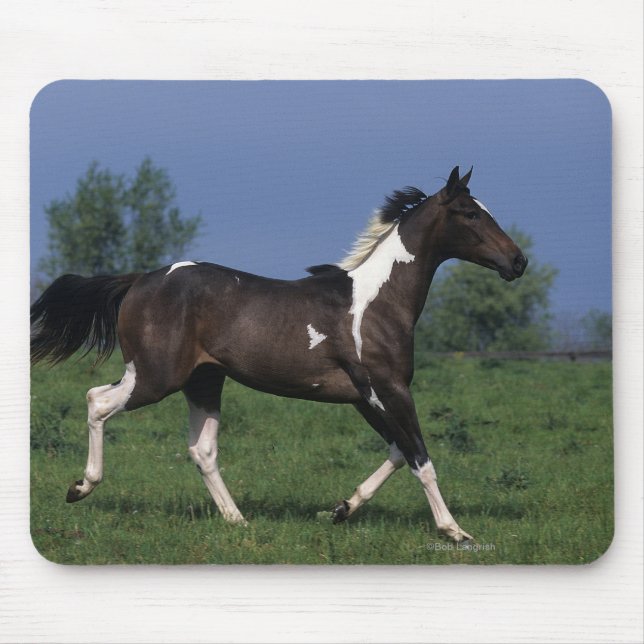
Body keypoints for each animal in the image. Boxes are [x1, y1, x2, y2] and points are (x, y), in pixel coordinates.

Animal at [31, 166, 527, 543]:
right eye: (469, 213)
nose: (517, 262)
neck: (379, 302)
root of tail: (138, 280)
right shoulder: (389, 389)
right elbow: (421, 458)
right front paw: (454, 531)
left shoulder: (364, 397)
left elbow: (399, 452)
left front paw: (342, 509)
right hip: (155, 377)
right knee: (97, 401)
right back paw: (81, 487)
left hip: (203, 381)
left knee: (201, 450)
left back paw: (238, 520)